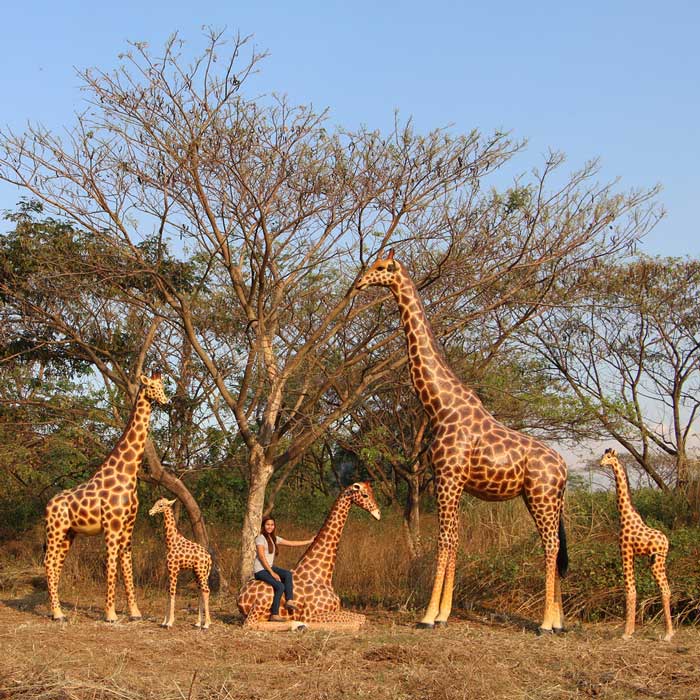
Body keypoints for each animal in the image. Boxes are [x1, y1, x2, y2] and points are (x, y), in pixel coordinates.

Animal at [44, 371, 169, 622]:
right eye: (152, 387)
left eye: (163, 386)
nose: (166, 401)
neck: (127, 473)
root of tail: (48, 505)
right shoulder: (112, 526)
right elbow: (111, 566)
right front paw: (110, 614)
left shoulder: (128, 526)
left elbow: (126, 565)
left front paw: (135, 612)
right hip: (55, 531)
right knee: (48, 563)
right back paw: (57, 613)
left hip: (68, 534)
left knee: (56, 565)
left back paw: (57, 611)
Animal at [148, 498, 212, 630]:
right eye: (156, 503)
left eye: (161, 505)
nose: (150, 512)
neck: (171, 542)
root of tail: (209, 558)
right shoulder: (169, 570)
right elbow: (168, 593)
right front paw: (164, 621)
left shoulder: (174, 569)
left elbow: (173, 593)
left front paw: (170, 622)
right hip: (196, 573)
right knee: (200, 591)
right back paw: (198, 623)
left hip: (201, 572)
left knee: (206, 591)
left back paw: (207, 624)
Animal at [237, 482, 381, 626]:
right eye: (365, 495)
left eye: (372, 492)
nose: (378, 514)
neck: (322, 577)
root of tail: (239, 597)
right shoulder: (309, 616)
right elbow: (360, 619)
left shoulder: (335, 608)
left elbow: (362, 617)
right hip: (259, 608)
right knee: (251, 624)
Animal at [356, 250, 568, 632]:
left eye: (381, 267)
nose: (359, 282)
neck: (440, 405)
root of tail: (564, 469)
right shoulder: (451, 482)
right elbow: (454, 540)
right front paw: (443, 614)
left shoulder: (448, 478)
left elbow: (444, 540)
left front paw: (428, 616)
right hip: (543, 499)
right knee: (555, 546)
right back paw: (559, 622)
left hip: (542, 497)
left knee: (550, 546)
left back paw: (546, 624)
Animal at [599, 448, 674, 641]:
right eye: (603, 456)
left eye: (608, 457)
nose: (600, 464)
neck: (625, 515)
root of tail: (666, 542)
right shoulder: (630, 554)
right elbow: (632, 589)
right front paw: (630, 630)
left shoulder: (625, 551)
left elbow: (630, 590)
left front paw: (626, 633)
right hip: (656, 560)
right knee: (666, 589)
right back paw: (670, 632)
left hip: (656, 561)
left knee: (665, 589)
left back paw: (668, 634)